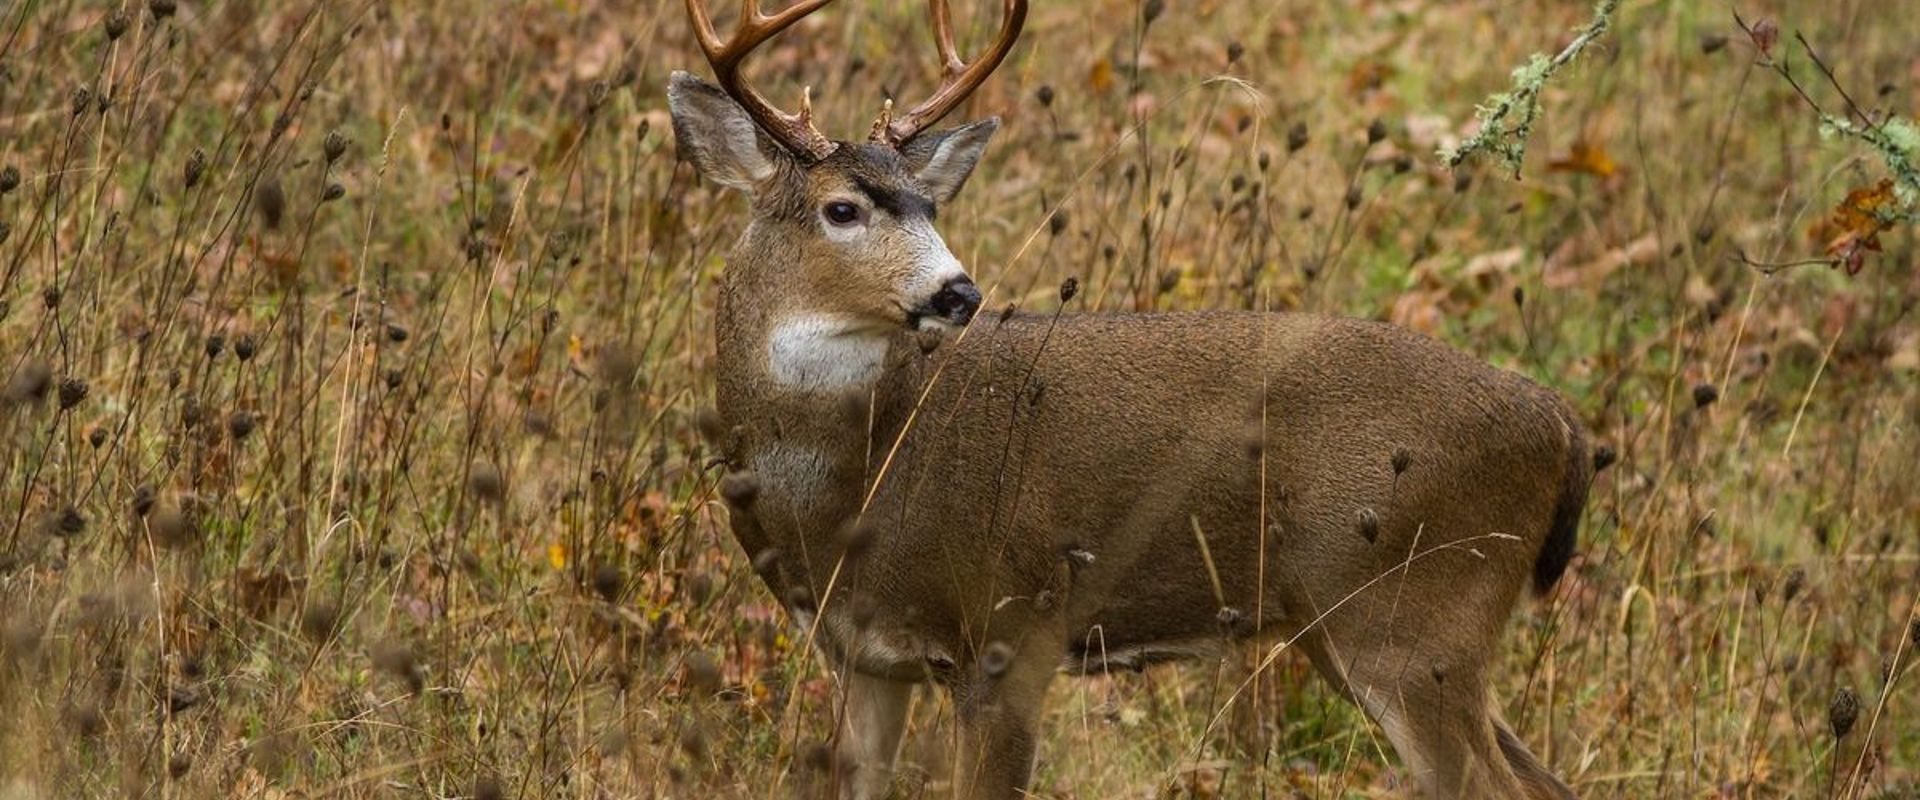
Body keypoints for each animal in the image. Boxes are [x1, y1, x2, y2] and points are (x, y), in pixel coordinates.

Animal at [666, 1, 1593, 797]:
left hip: (1416, 616)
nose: (959, 291)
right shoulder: (861, 656)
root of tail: (1559, 421)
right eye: (841, 208)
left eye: (930, 203)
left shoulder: (1013, 632)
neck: (859, 489)